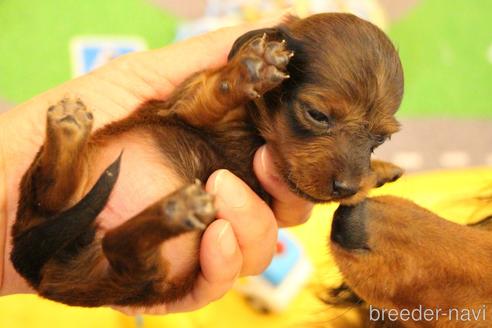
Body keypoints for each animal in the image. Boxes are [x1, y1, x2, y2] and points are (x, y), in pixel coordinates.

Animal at [10, 13, 404, 308]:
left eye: (381, 139)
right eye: (318, 115)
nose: (346, 187)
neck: (256, 129)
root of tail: (39, 274)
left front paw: (381, 171)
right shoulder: (185, 104)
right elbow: (214, 91)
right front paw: (250, 70)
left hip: (137, 277)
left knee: (118, 246)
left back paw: (169, 209)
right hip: (53, 208)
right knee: (50, 195)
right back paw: (69, 133)